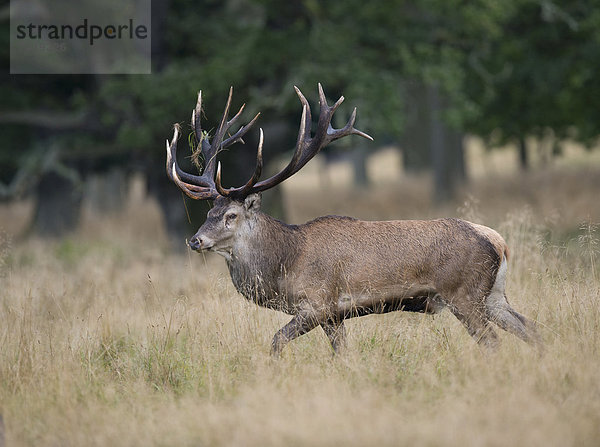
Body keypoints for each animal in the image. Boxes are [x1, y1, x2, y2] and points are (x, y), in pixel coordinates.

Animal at [165, 84, 544, 356]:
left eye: (230, 215)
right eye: (208, 214)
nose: (195, 240)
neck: (285, 263)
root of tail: (499, 242)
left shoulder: (318, 303)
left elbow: (276, 342)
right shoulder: (334, 316)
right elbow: (342, 354)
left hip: (463, 293)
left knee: (493, 342)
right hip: (493, 295)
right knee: (533, 329)